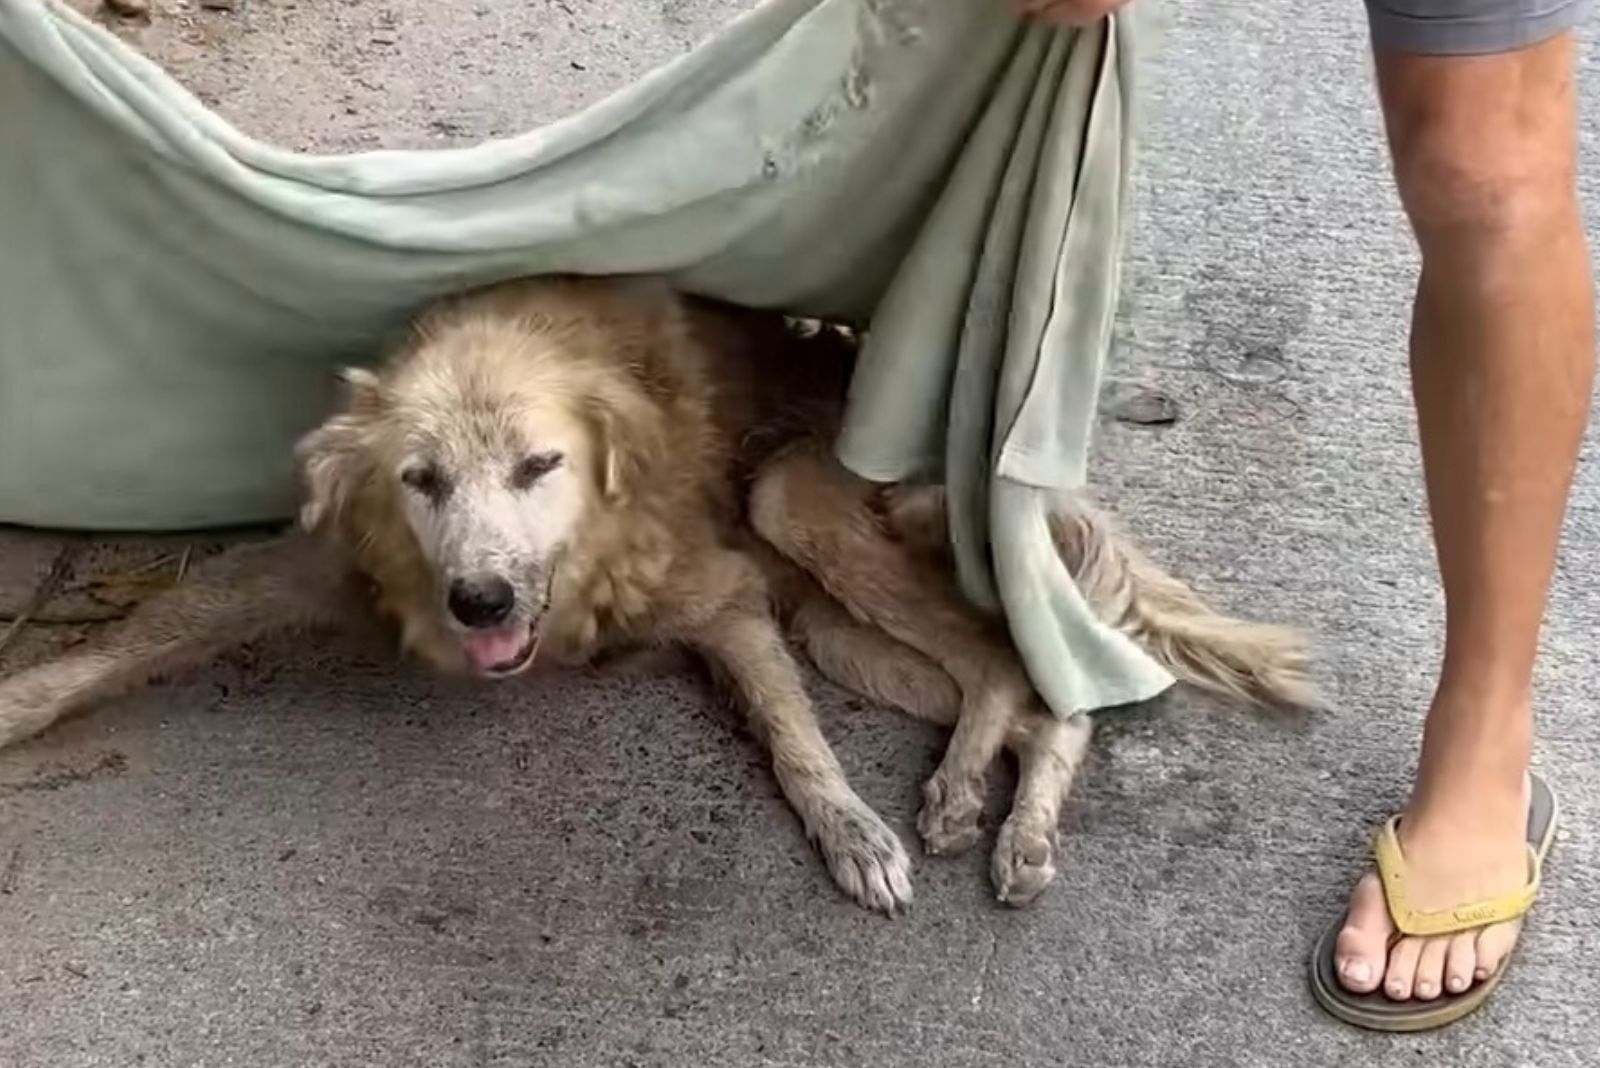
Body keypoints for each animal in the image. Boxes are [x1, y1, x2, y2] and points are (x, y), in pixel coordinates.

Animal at [0, 279, 1312, 914]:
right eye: (420, 480)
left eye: (540, 465)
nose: (479, 602)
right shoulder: (312, 563)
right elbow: (149, 626)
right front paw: (23, 701)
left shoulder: (723, 596)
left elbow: (792, 744)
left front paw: (851, 834)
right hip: (839, 631)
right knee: (1029, 691)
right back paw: (972, 800)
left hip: (791, 505)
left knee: (1035, 679)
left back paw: (995, 822)